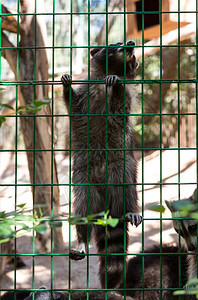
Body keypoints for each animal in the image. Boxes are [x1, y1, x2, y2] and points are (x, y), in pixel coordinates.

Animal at [61, 40, 142, 288]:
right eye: (117, 44)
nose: (131, 43)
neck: (109, 71)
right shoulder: (85, 95)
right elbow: (74, 106)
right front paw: (67, 89)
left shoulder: (125, 97)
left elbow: (120, 100)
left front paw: (116, 85)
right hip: (82, 177)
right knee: (83, 208)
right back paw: (81, 239)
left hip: (122, 167)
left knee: (127, 191)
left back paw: (130, 210)